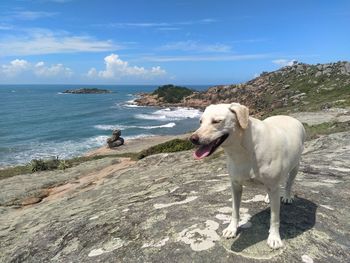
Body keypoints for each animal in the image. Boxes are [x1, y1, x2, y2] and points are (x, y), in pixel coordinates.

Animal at [190, 103, 304, 250]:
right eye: (200, 121)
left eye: (216, 121)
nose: (193, 139)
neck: (243, 148)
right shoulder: (235, 185)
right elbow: (234, 210)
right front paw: (232, 229)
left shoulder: (273, 185)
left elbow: (274, 217)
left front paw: (274, 237)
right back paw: (269, 197)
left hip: (296, 165)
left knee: (289, 182)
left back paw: (287, 196)